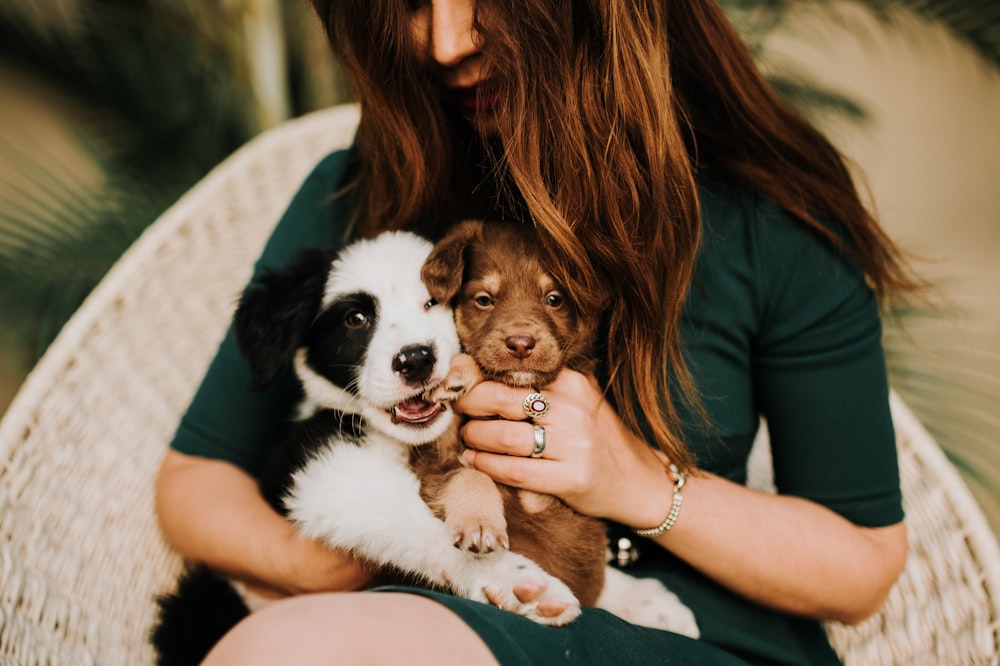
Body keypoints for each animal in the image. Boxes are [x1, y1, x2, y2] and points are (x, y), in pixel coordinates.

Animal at [152, 230, 584, 664]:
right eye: (355, 319)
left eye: (433, 302)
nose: (416, 359)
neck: (396, 440)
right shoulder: (322, 470)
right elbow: (413, 523)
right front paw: (515, 580)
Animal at [416, 219, 608, 608]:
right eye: (484, 300)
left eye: (554, 299)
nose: (521, 344)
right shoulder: (435, 460)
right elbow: (470, 474)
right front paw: (480, 525)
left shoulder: (546, 497)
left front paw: (460, 371)